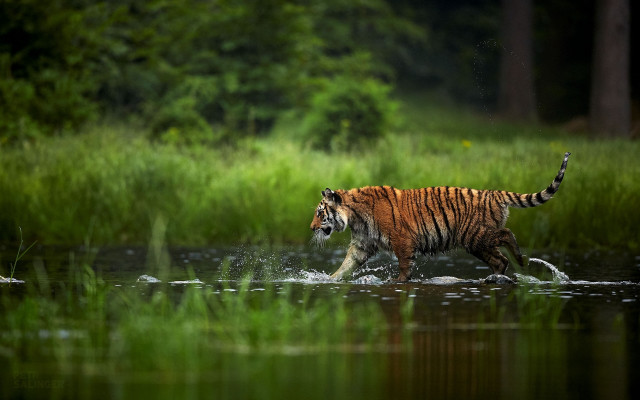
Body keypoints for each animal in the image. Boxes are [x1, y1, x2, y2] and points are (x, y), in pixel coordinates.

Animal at [310, 152, 570, 282]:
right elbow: (346, 265)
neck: (355, 216)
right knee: (500, 261)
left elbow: (404, 265)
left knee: (507, 235)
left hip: (475, 235)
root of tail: (493, 193)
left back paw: (520, 258)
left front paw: (400, 282)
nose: (311, 228)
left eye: (320, 213)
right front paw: (329, 280)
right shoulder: (362, 244)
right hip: (476, 243)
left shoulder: (402, 240)